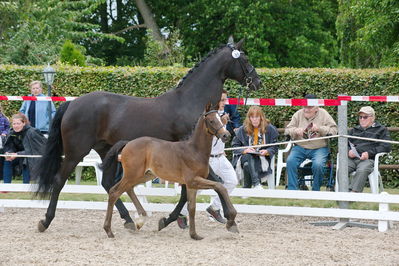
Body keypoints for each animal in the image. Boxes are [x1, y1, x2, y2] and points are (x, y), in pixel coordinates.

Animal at [104, 105, 239, 240]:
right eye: (211, 121)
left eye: (221, 119)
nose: (226, 135)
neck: (195, 151)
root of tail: (127, 143)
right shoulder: (193, 181)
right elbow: (220, 186)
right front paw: (231, 220)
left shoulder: (192, 185)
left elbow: (192, 208)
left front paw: (194, 235)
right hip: (132, 175)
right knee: (114, 192)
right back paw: (109, 230)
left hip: (144, 175)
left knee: (127, 189)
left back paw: (141, 219)